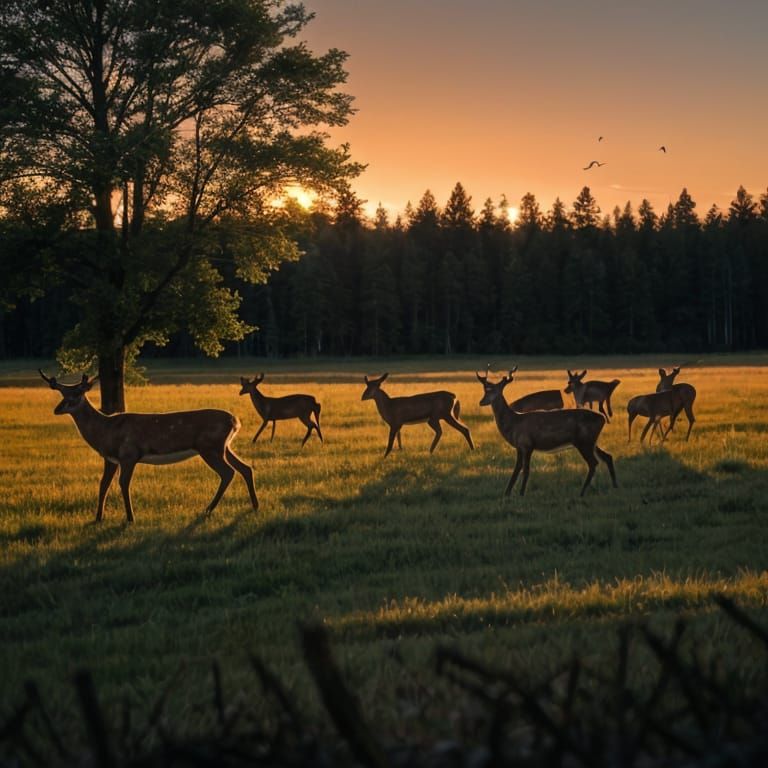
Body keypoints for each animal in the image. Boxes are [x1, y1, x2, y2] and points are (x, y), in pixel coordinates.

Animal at [40, 371, 258, 522]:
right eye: (62, 393)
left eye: (77, 392)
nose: (58, 409)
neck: (105, 430)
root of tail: (235, 421)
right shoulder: (111, 458)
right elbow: (103, 484)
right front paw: (98, 517)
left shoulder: (129, 454)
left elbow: (123, 484)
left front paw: (130, 518)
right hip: (224, 447)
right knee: (245, 468)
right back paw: (254, 505)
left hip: (210, 447)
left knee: (228, 472)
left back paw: (209, 509)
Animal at [477, 370, 617, 497]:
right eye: (485, 391)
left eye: (492, 391)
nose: (481, 402)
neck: (513, 423)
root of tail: (602, 419)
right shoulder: (519, 446)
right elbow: (517, 469)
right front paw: (507, 493)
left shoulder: (527, 444)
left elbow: (525, 470)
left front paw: (521, 493)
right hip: (592, 441)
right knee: (607, 456)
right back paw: (615, 486)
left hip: (583, 441)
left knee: (593, 463)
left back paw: (582, 492)